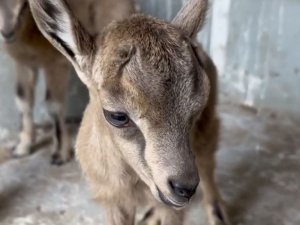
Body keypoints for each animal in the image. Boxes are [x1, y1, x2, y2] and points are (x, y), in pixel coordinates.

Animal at [0, 0, 134, 165]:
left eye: (24, 4)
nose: (7, 33)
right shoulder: (23, 63)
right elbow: (22, 100)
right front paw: (22, 147)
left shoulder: (56, 63)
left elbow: (53, 104)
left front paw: (60, 154)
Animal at [28, 0, 230, 223]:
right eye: (117, 116)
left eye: (197, 106)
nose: (184, 188)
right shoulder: (114, 199)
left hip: (207, 129)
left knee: (207, 161)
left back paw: (218, 214)